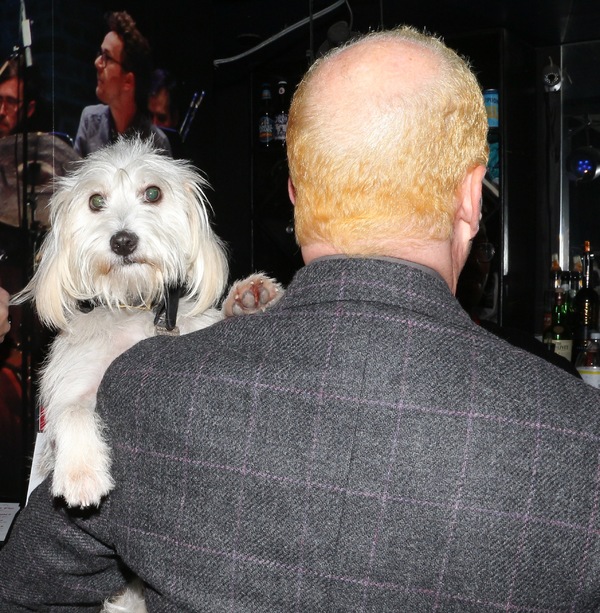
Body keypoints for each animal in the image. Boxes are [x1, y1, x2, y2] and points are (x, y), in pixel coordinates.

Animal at [14, 135, 282, 512]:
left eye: (153, 193)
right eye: (95, 201)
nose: (123, 241)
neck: (134, 303)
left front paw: (245, 299)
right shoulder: (73, 384)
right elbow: (71, 411)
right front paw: (81, 473)